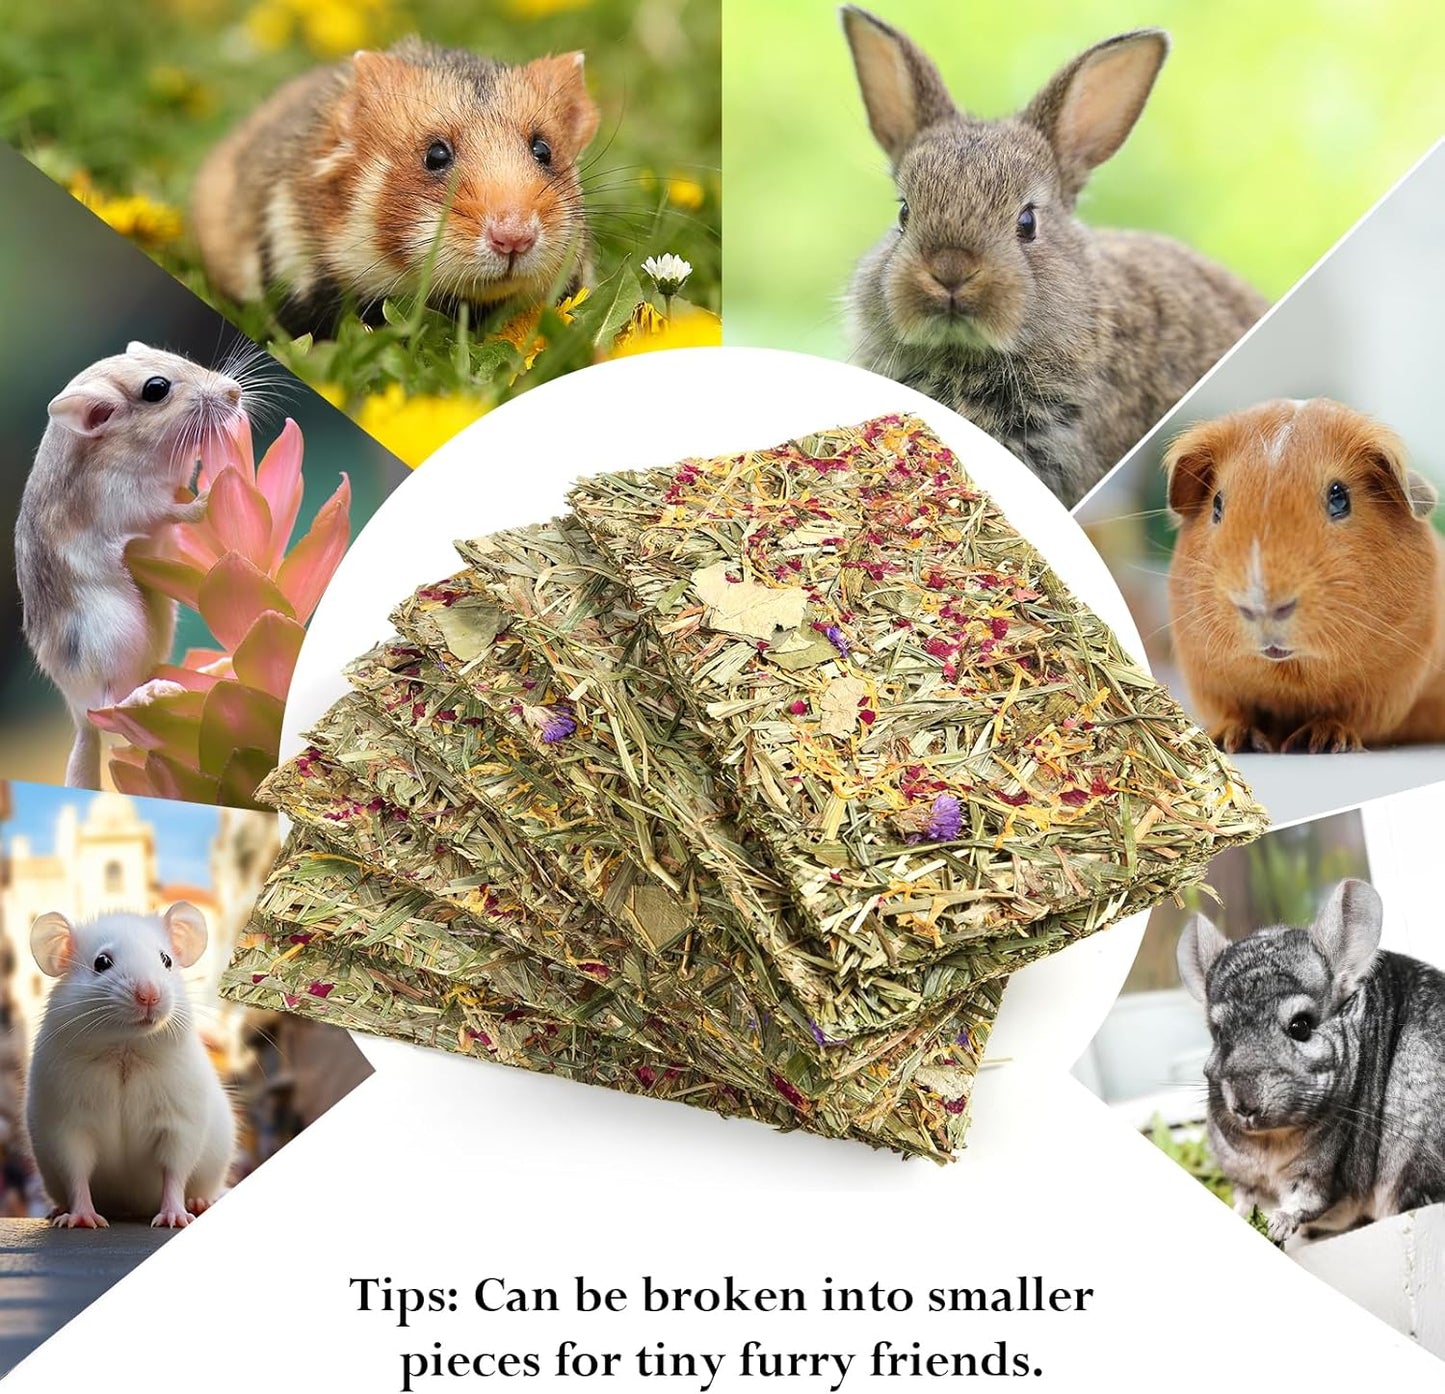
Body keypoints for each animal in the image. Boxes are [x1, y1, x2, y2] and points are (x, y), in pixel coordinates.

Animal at [14, 343, 245, 789]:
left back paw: (212, 668)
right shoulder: (133, 501)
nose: (236, 393)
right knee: (107, 707)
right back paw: (153, 694)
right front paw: (208, 495)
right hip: (115, 630)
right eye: (156, 389)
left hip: (158, 621)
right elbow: (177, 510)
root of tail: (75, 714)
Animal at [25, 903, 236, 1228]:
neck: (126, 1048)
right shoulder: (67, 1125)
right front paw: (81, 1217)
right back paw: (59, 1210)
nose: (149, 995)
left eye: (166, 960)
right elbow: (76, 1173)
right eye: (101, 962)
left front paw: (175, 1215)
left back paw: (200, 1201)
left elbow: (174, 1171)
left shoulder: (178, 1123)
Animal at [1165, 397, 1445, 753]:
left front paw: (1320, 741)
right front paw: (1231, 741)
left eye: (1339, 497)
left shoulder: (1388, 688)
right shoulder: (1211, 680)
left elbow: (1349, 716)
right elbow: (1236, 712)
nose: (1262, 606)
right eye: (1217, 504)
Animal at [1177, 878, 1445, 1244]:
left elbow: (1304, 1203)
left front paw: (1276, 1224)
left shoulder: (1321, 1173)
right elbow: (1244, 1201)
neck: (1272, 1143)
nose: (1245, 1106)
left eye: (1300, 1026)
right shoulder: (1243, 1178)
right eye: (1218, 1033)